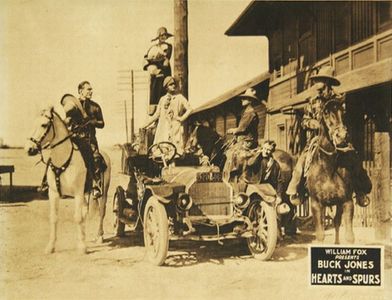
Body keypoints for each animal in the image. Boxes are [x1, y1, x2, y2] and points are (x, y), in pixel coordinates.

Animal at [24, 108, 110, 253]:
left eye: (44, 125)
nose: (29, 149)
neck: (63, 160)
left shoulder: (78, 193)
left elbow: (77, 217)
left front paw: (81, 247)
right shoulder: (53, 193)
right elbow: (54, 218)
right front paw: (51, 246)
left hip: (102, 193)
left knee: (101, 212)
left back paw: (99, 237)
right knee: (85, 212)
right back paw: (85, 237)